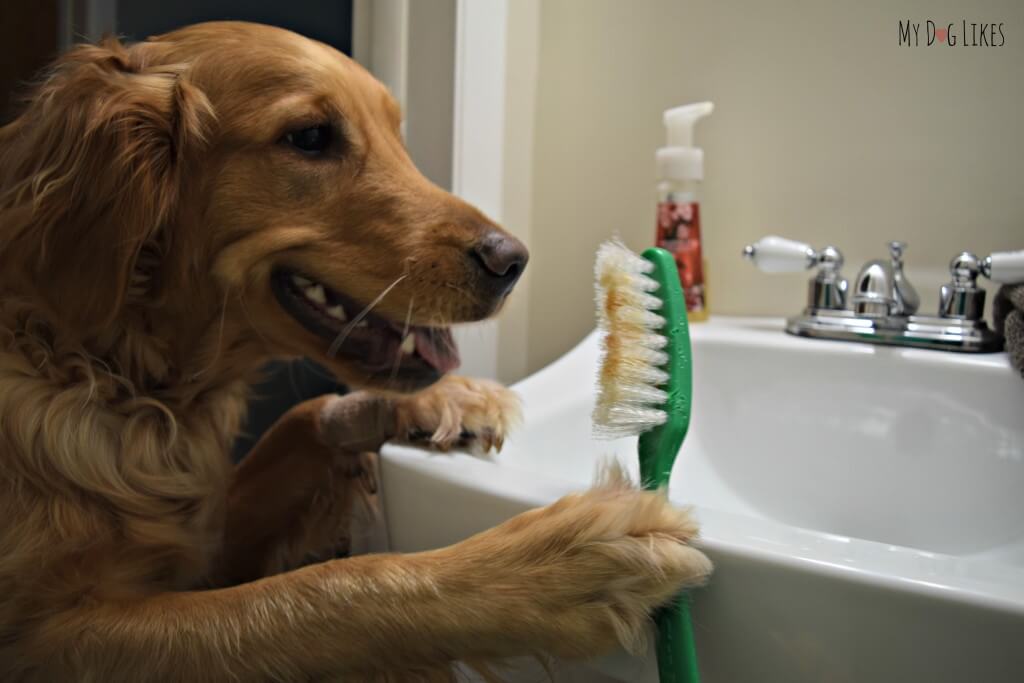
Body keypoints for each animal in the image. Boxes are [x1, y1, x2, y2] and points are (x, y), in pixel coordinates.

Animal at [0, 22, 708, 683]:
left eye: (396, 132)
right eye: (311, 137)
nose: (512, 261)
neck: (112, 371)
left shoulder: (206, 544)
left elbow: (305, 416)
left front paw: (441, 401)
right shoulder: (53, 639)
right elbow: (319, 591)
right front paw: (550, 569)